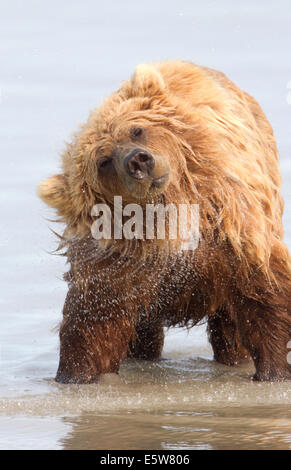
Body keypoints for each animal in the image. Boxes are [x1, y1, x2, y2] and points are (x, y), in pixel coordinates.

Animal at [38, 60, 291, 384]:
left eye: (137, 130)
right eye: (104, 161)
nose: (138, 161)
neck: (169, 214)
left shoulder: (230, 226)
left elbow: (262, 290)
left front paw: (275, 371)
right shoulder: (115, 266)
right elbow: (93, 322)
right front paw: (75, 376)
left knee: (230, 328)